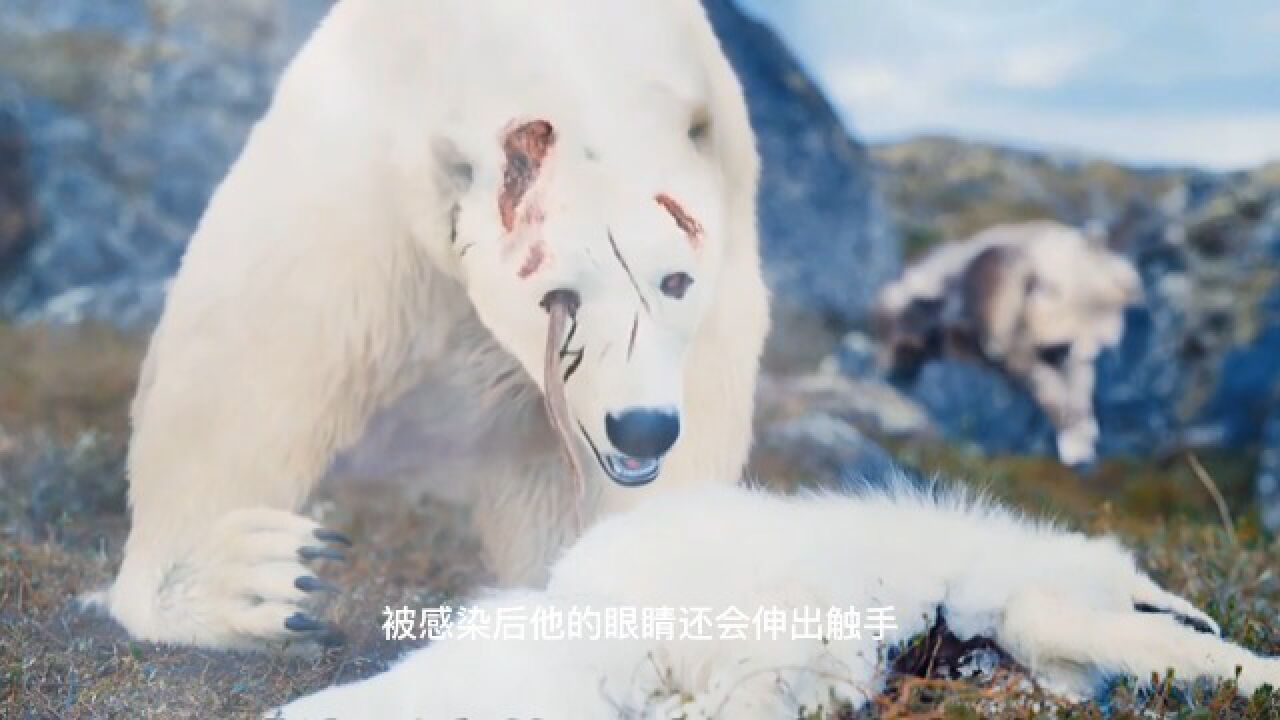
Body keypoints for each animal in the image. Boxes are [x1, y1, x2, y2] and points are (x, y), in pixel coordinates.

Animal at [103, 0, 769, 649]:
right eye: (557, 298)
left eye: (675, 281)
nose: (641, 428)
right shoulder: (369, 169)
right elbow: (259, 346)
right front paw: (253, 577)